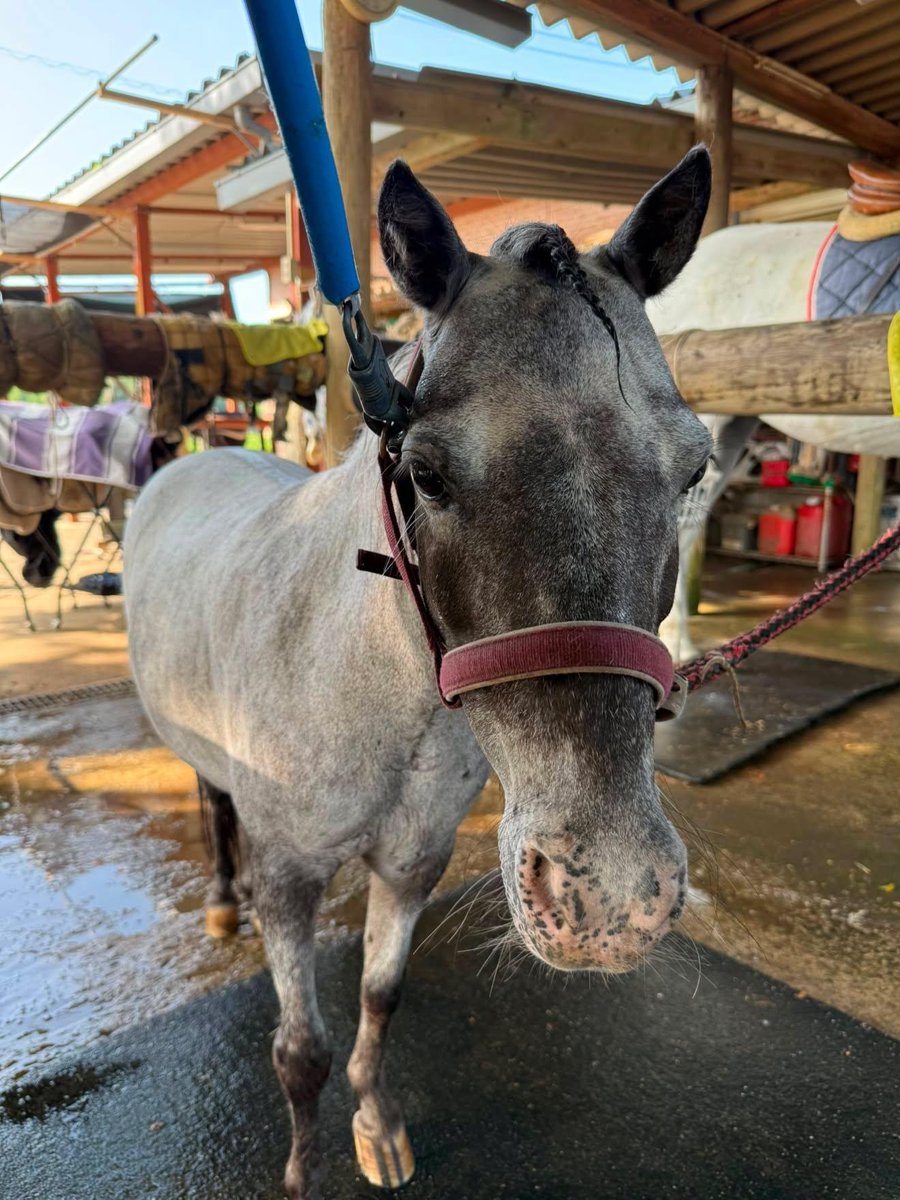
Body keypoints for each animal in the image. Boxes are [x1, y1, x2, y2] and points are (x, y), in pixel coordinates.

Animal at [124, 147, 713, 1200]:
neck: (365, 697)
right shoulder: (291, 879)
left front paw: (378, 1129)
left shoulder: (413, 861)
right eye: (426, 474)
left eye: (693, 471)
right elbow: (300, 1052)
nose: (609, 898)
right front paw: (302, 1172)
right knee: (212, 805)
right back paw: (220, 902)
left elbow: (380, 998)